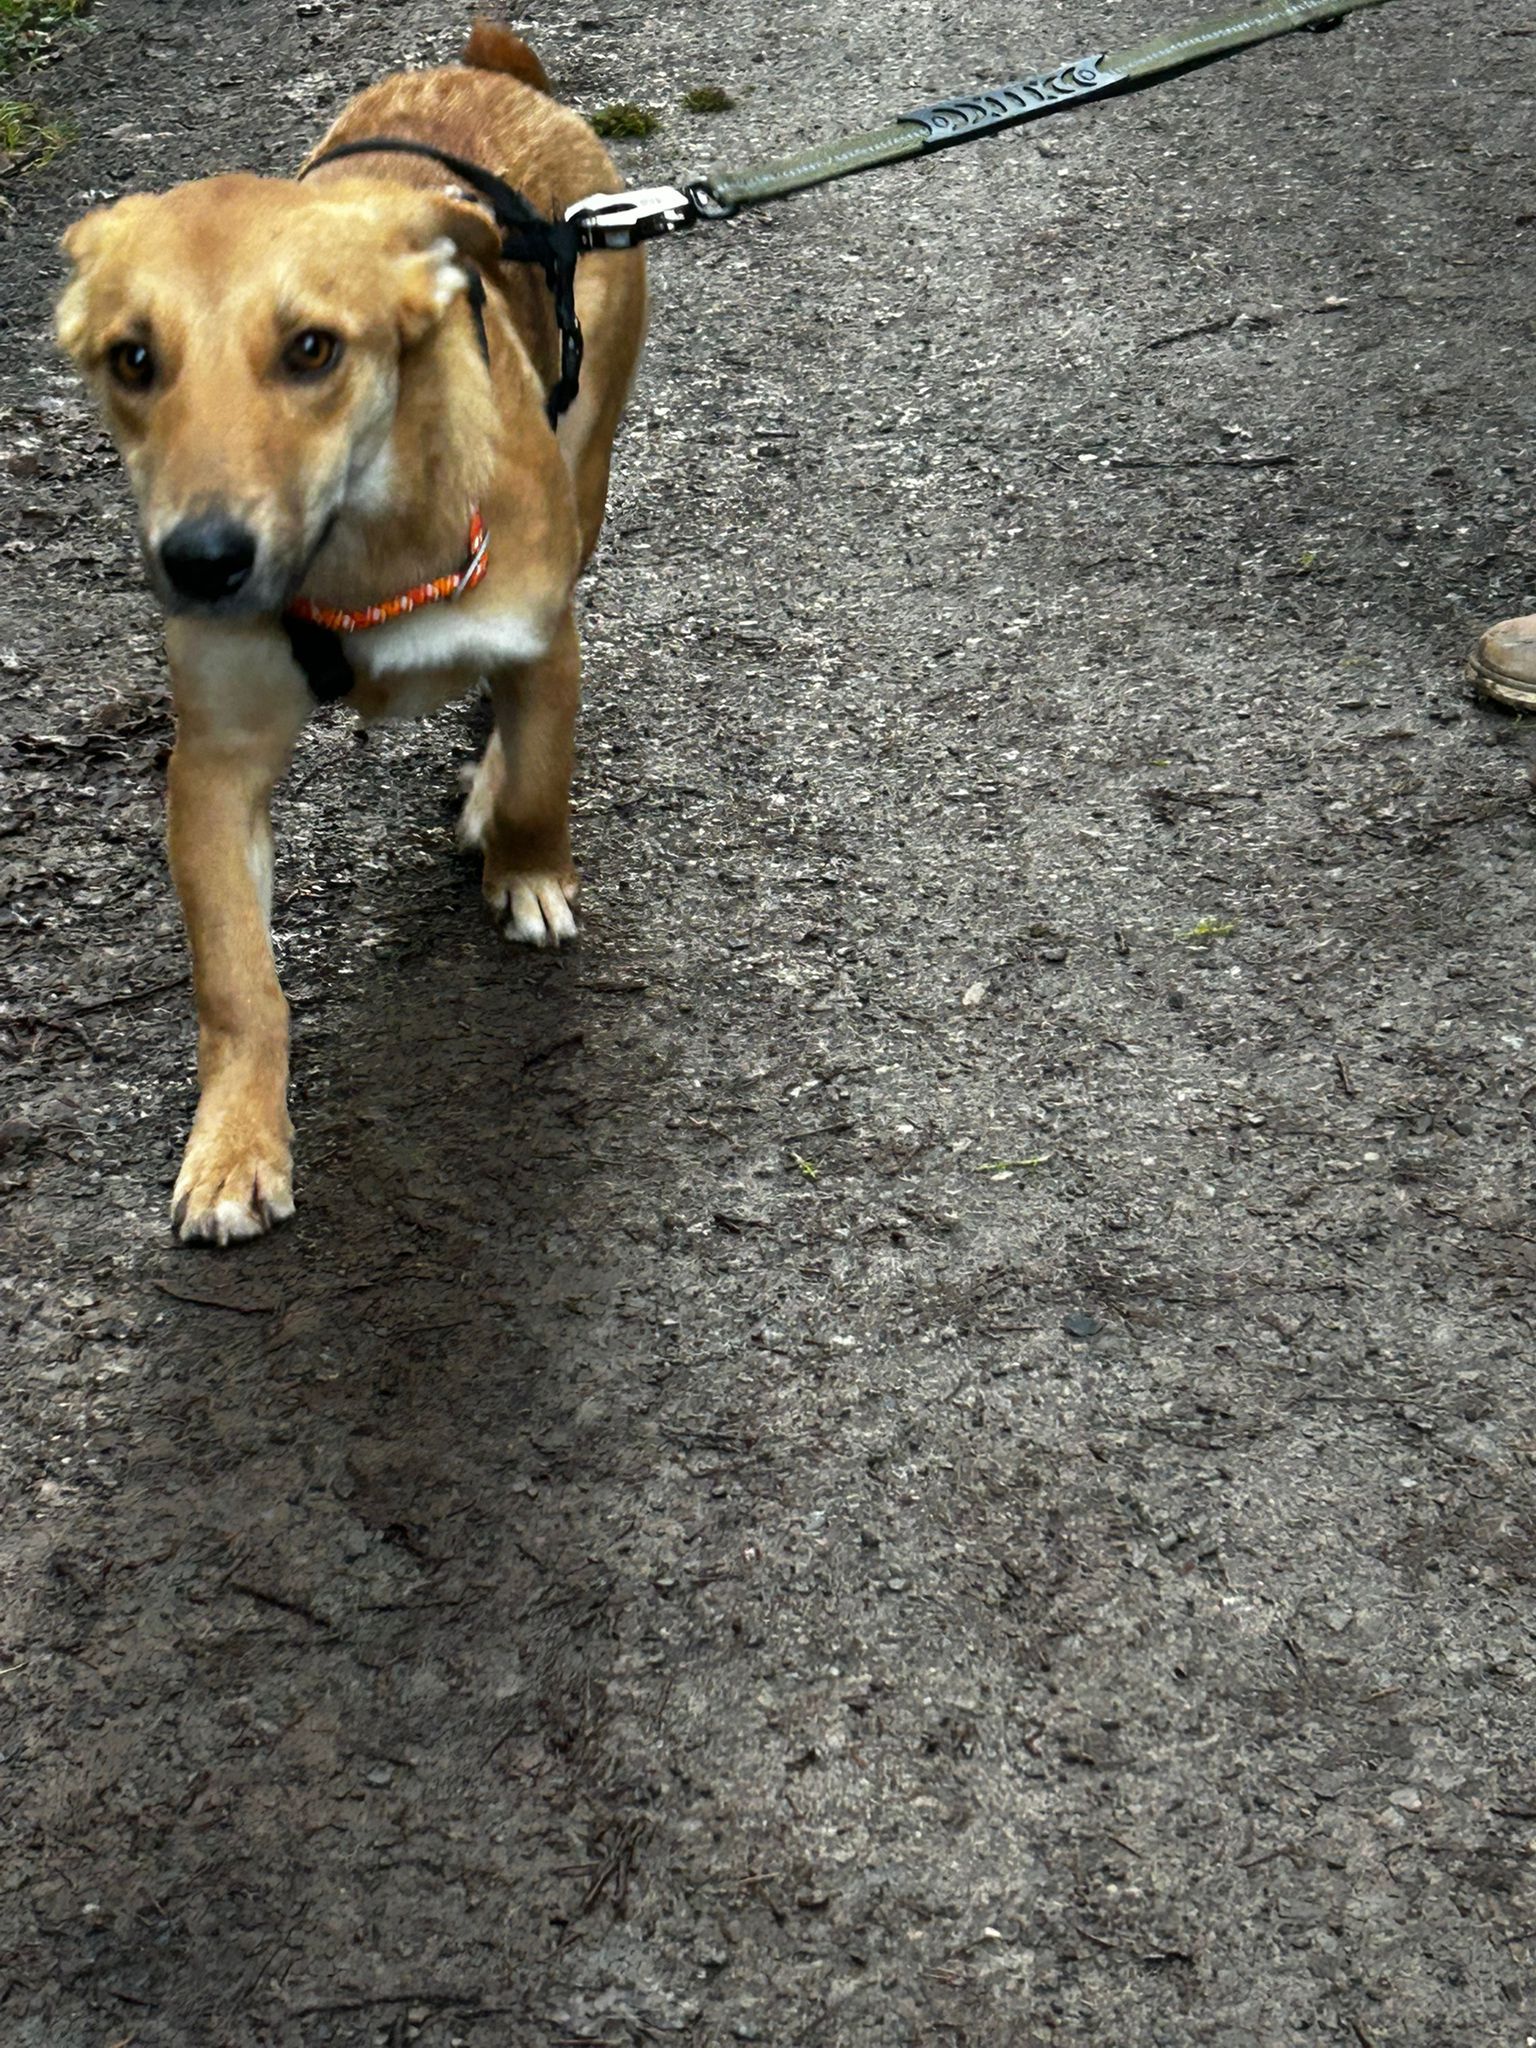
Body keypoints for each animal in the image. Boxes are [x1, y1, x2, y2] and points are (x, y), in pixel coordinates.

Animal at [55, 22, 648, 1246]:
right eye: (133, 359)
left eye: (313, 350)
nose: (203, 559)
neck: (357, 546)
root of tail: (491, 69)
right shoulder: (216, 762)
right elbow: (238, 981)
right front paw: (235, 1144)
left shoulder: (541, 632)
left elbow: (540, 781)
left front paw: (523, 867)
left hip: (591, 460)